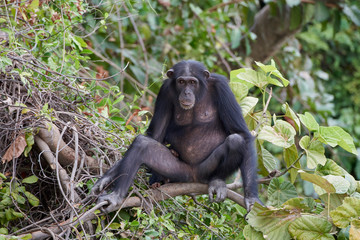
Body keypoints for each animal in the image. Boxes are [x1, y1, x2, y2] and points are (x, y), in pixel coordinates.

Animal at [92, 60, 262, 212]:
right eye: (181, 82)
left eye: (192, 82)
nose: (186, 92)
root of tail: (193, 178)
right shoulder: (165, 91)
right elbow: (155, 135)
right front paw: (107, 178)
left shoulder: (222, 87)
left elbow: (242, 134)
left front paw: (251, 198)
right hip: (179, 172)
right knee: (142, 144)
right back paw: (117, 196)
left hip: (205, 170)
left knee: (235, 141)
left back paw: (217, 181)